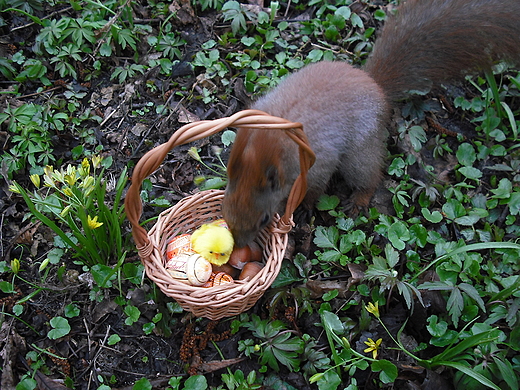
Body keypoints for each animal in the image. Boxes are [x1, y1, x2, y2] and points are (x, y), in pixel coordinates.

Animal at [221, 0, 520, 247]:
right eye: (225, 204)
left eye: (264, 218)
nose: (239, 244)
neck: (269, 143)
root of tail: (375, 85)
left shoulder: (319, 162)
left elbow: (315, 188)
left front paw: (304, 207)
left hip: (359, 153)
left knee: (370, 177)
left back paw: (358, 201)